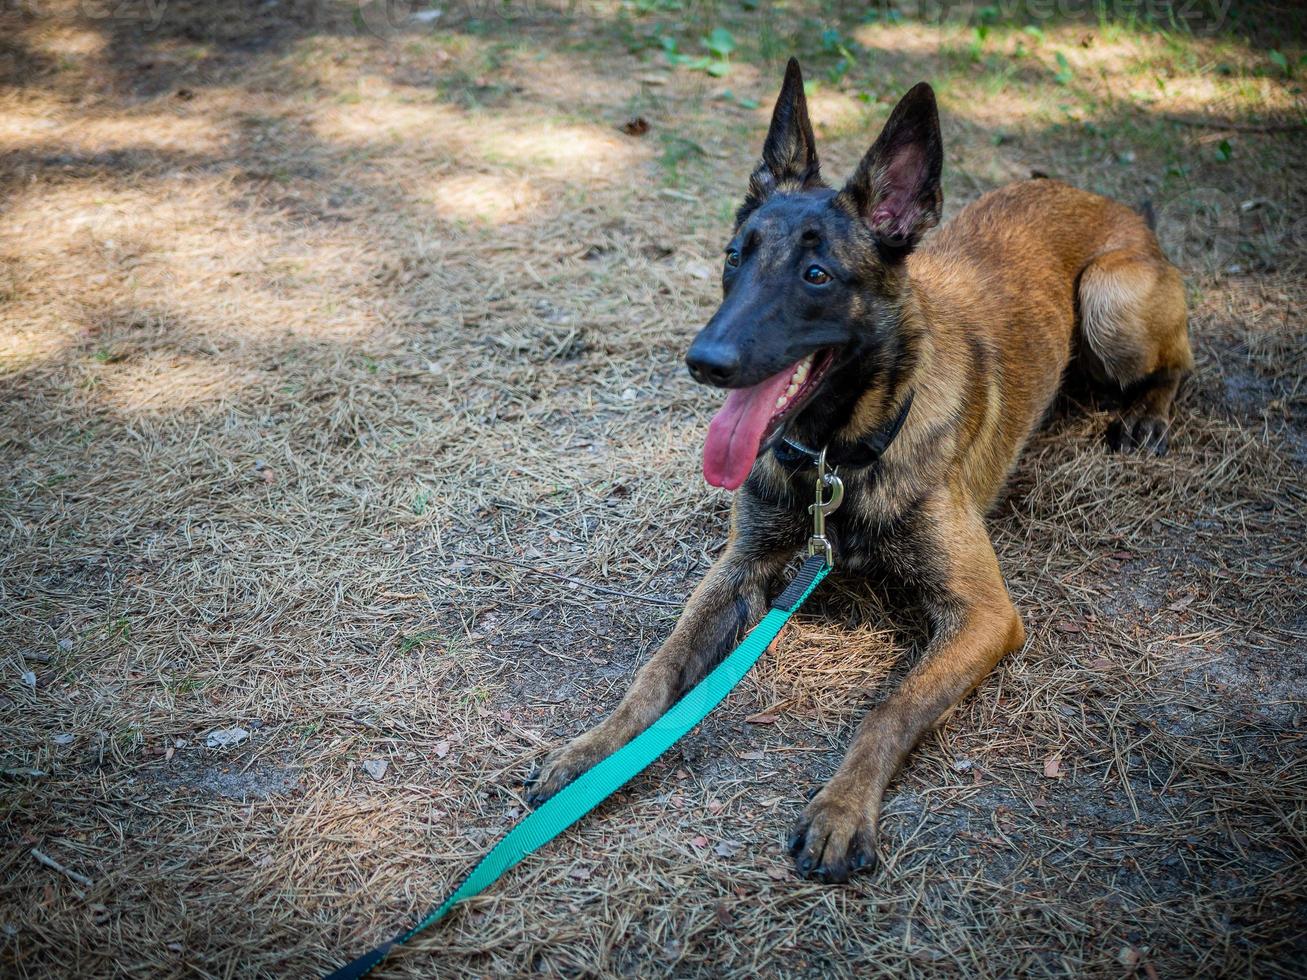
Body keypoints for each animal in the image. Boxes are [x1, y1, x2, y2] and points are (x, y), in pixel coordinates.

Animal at [525, 63, 1191, 888]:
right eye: (734, 256)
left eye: (816, 274)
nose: (703, 361)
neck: (834, 459)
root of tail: (1112, 204)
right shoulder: (738, 569)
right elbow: (655, 671)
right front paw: (589, 751)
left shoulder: (984, 614)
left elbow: (889, 708)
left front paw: (841, 809)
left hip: (1110, 300)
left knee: (1179, 360)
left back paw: (1147, 414)